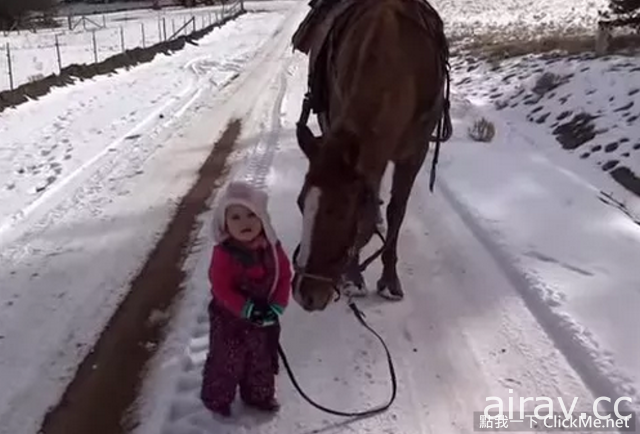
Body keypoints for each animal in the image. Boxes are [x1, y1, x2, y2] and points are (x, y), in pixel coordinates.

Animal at [290, 0, 450, 312]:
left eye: (343, 212)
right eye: (301, 203)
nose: (306, 294)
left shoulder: (415, 153)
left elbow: (397, 211)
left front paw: (389, 282)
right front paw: (354, 278)